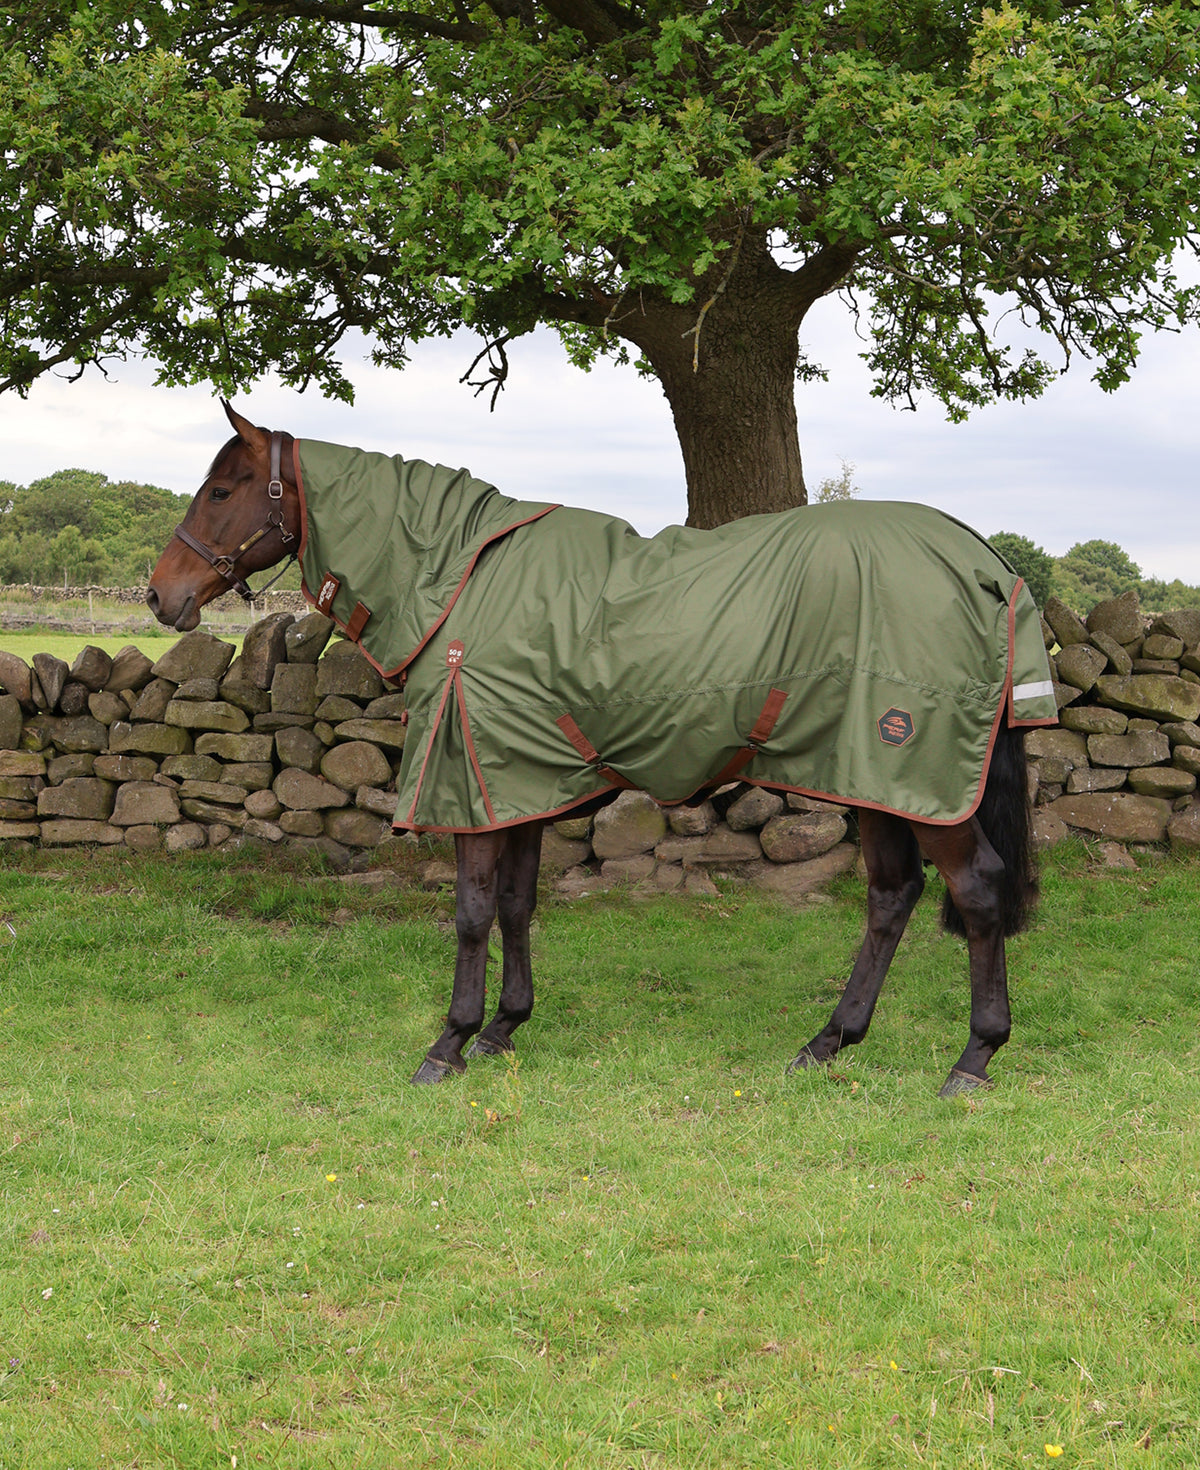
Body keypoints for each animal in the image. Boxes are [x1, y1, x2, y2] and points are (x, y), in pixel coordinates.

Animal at [147, 403, 1054, 1097]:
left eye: (222, 489)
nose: (160, 596)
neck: (458, 583)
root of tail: (982, 561)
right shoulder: (515, 782)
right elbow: (517, 904)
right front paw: (504, 1029)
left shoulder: (470, 782)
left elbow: (472, 913)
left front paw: (450, 1043)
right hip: (878, 782)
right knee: (892, 897)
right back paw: (828, 1041)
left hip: (917, 775)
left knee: (977, 892)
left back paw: (973, 1058)